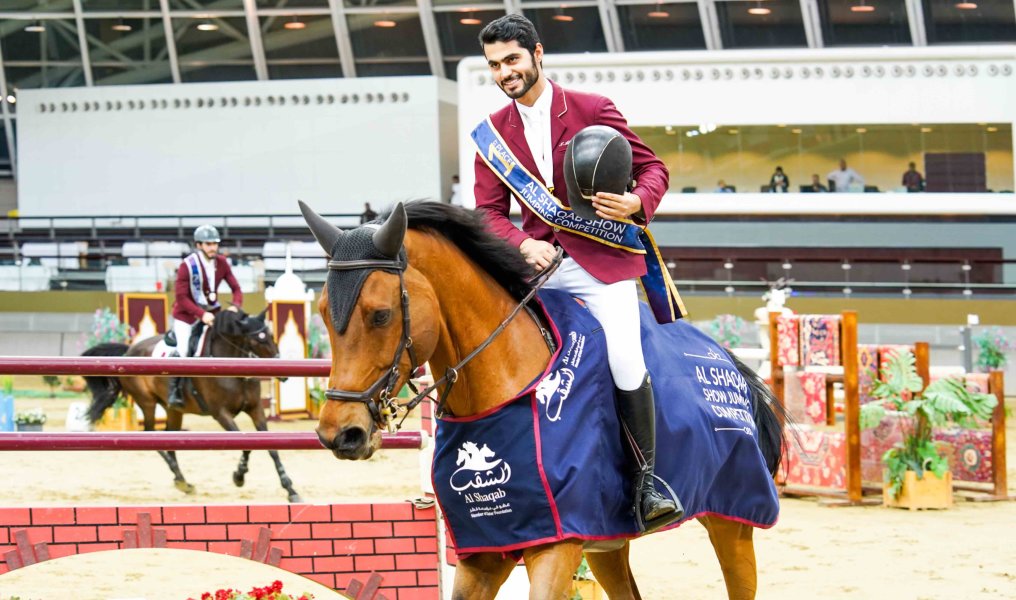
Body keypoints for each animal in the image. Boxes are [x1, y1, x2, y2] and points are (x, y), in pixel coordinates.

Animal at [81, 310, 298, 501]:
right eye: (256, 340)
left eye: (271, 335)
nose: (284, 374)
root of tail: (128, 350)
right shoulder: (221, 413)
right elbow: (246, 446)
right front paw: (239, 476)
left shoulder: (255, 409)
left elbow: (271, 448)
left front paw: (290, 488)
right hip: (147, 403)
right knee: (151, 434)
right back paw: (180, 479)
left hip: (173, 410)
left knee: (169, 439)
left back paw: (182, 482)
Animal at [300, 203, 784, 600]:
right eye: (322, 312)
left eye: (380, 315)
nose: (339, 433)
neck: (501, 390)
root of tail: (726, 358)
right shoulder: (485, 552)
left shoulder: (556, 548)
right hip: (607, 542)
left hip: (732, 521)